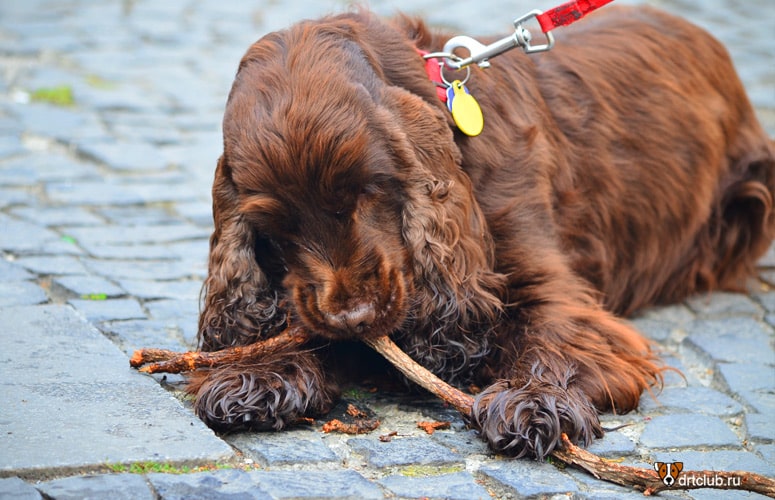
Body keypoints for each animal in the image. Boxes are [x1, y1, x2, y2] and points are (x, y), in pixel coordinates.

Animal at [191, 3, 772, 458]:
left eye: (368, 190)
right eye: (275, 225)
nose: (353, 319)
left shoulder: (550, 285)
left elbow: (554, 334)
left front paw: (535, 401)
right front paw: (260, 375)